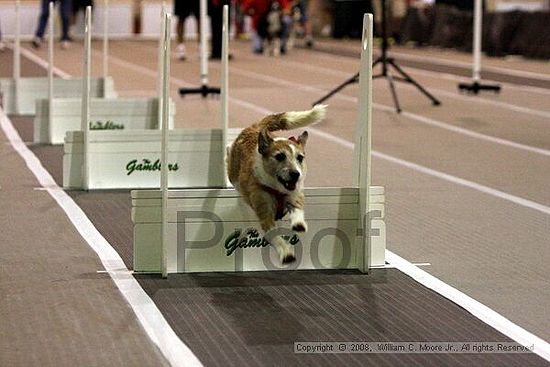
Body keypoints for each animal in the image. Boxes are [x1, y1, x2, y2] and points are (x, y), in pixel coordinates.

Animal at [229, 105, 328, 264]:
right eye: (280, 156)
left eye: (300, 158)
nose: (296, 174)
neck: (277, 188)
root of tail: (257, 127)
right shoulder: (265, 212)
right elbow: (276, 237)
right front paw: (286, 252)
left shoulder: (296, 194)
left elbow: (297, 208)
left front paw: (298, 224)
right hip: (232, 171)